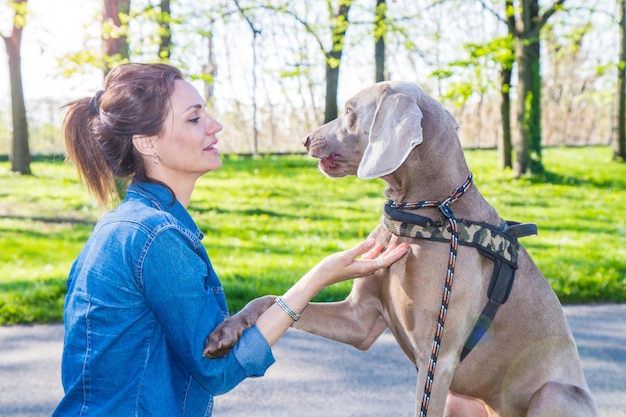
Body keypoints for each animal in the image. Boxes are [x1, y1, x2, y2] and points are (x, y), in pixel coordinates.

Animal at [205, 81, 596, 416]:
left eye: (349, 111)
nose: (305, 139)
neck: (425, 211)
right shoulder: (359, 320)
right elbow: (270, 300)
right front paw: (225, 333)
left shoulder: (438, 357)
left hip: (553, 393)